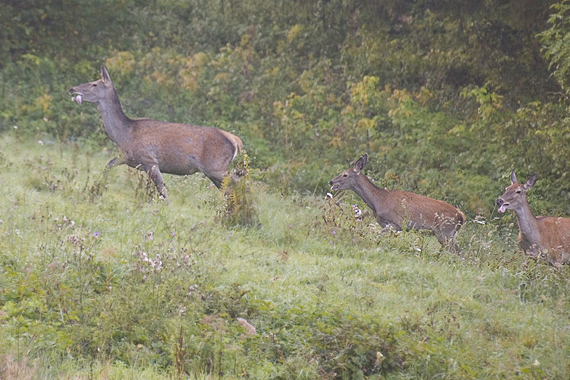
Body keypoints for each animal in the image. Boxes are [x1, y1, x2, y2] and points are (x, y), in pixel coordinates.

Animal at [69, 65, 242, 203]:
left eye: (94, 84)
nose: (72, 89)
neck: (125, 135)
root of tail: (235, 140)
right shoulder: (129, 158)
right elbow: (108, 164)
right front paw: (96, 190)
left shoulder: (150, 160)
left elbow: (162, 189)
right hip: (215, 170)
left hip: (215, 167)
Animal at [326, 154, 464, 252]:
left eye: (345, 175)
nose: (331, 181)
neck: (378, 202)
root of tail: (461, 216)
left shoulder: (395, 223)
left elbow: (377, 237)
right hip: (450, 234)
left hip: (444, 232)